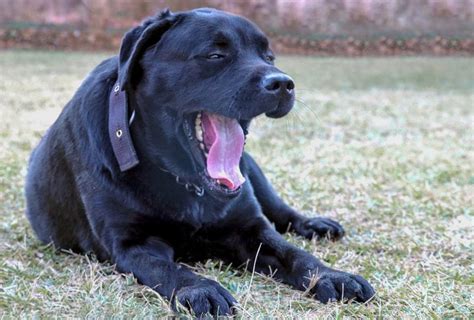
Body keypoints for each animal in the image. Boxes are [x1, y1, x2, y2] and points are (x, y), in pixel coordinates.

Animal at [25, 8, 374, 318]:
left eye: (269, 57)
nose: (283, 83)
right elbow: (167, 268)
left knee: (282, 212)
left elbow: (294, 253)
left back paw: (314, 225)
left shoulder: (250, 227)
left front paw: (332, 276)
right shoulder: (132, 243)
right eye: (215, 55)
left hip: (254, 172)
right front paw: (200, 289)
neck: (185, 183)